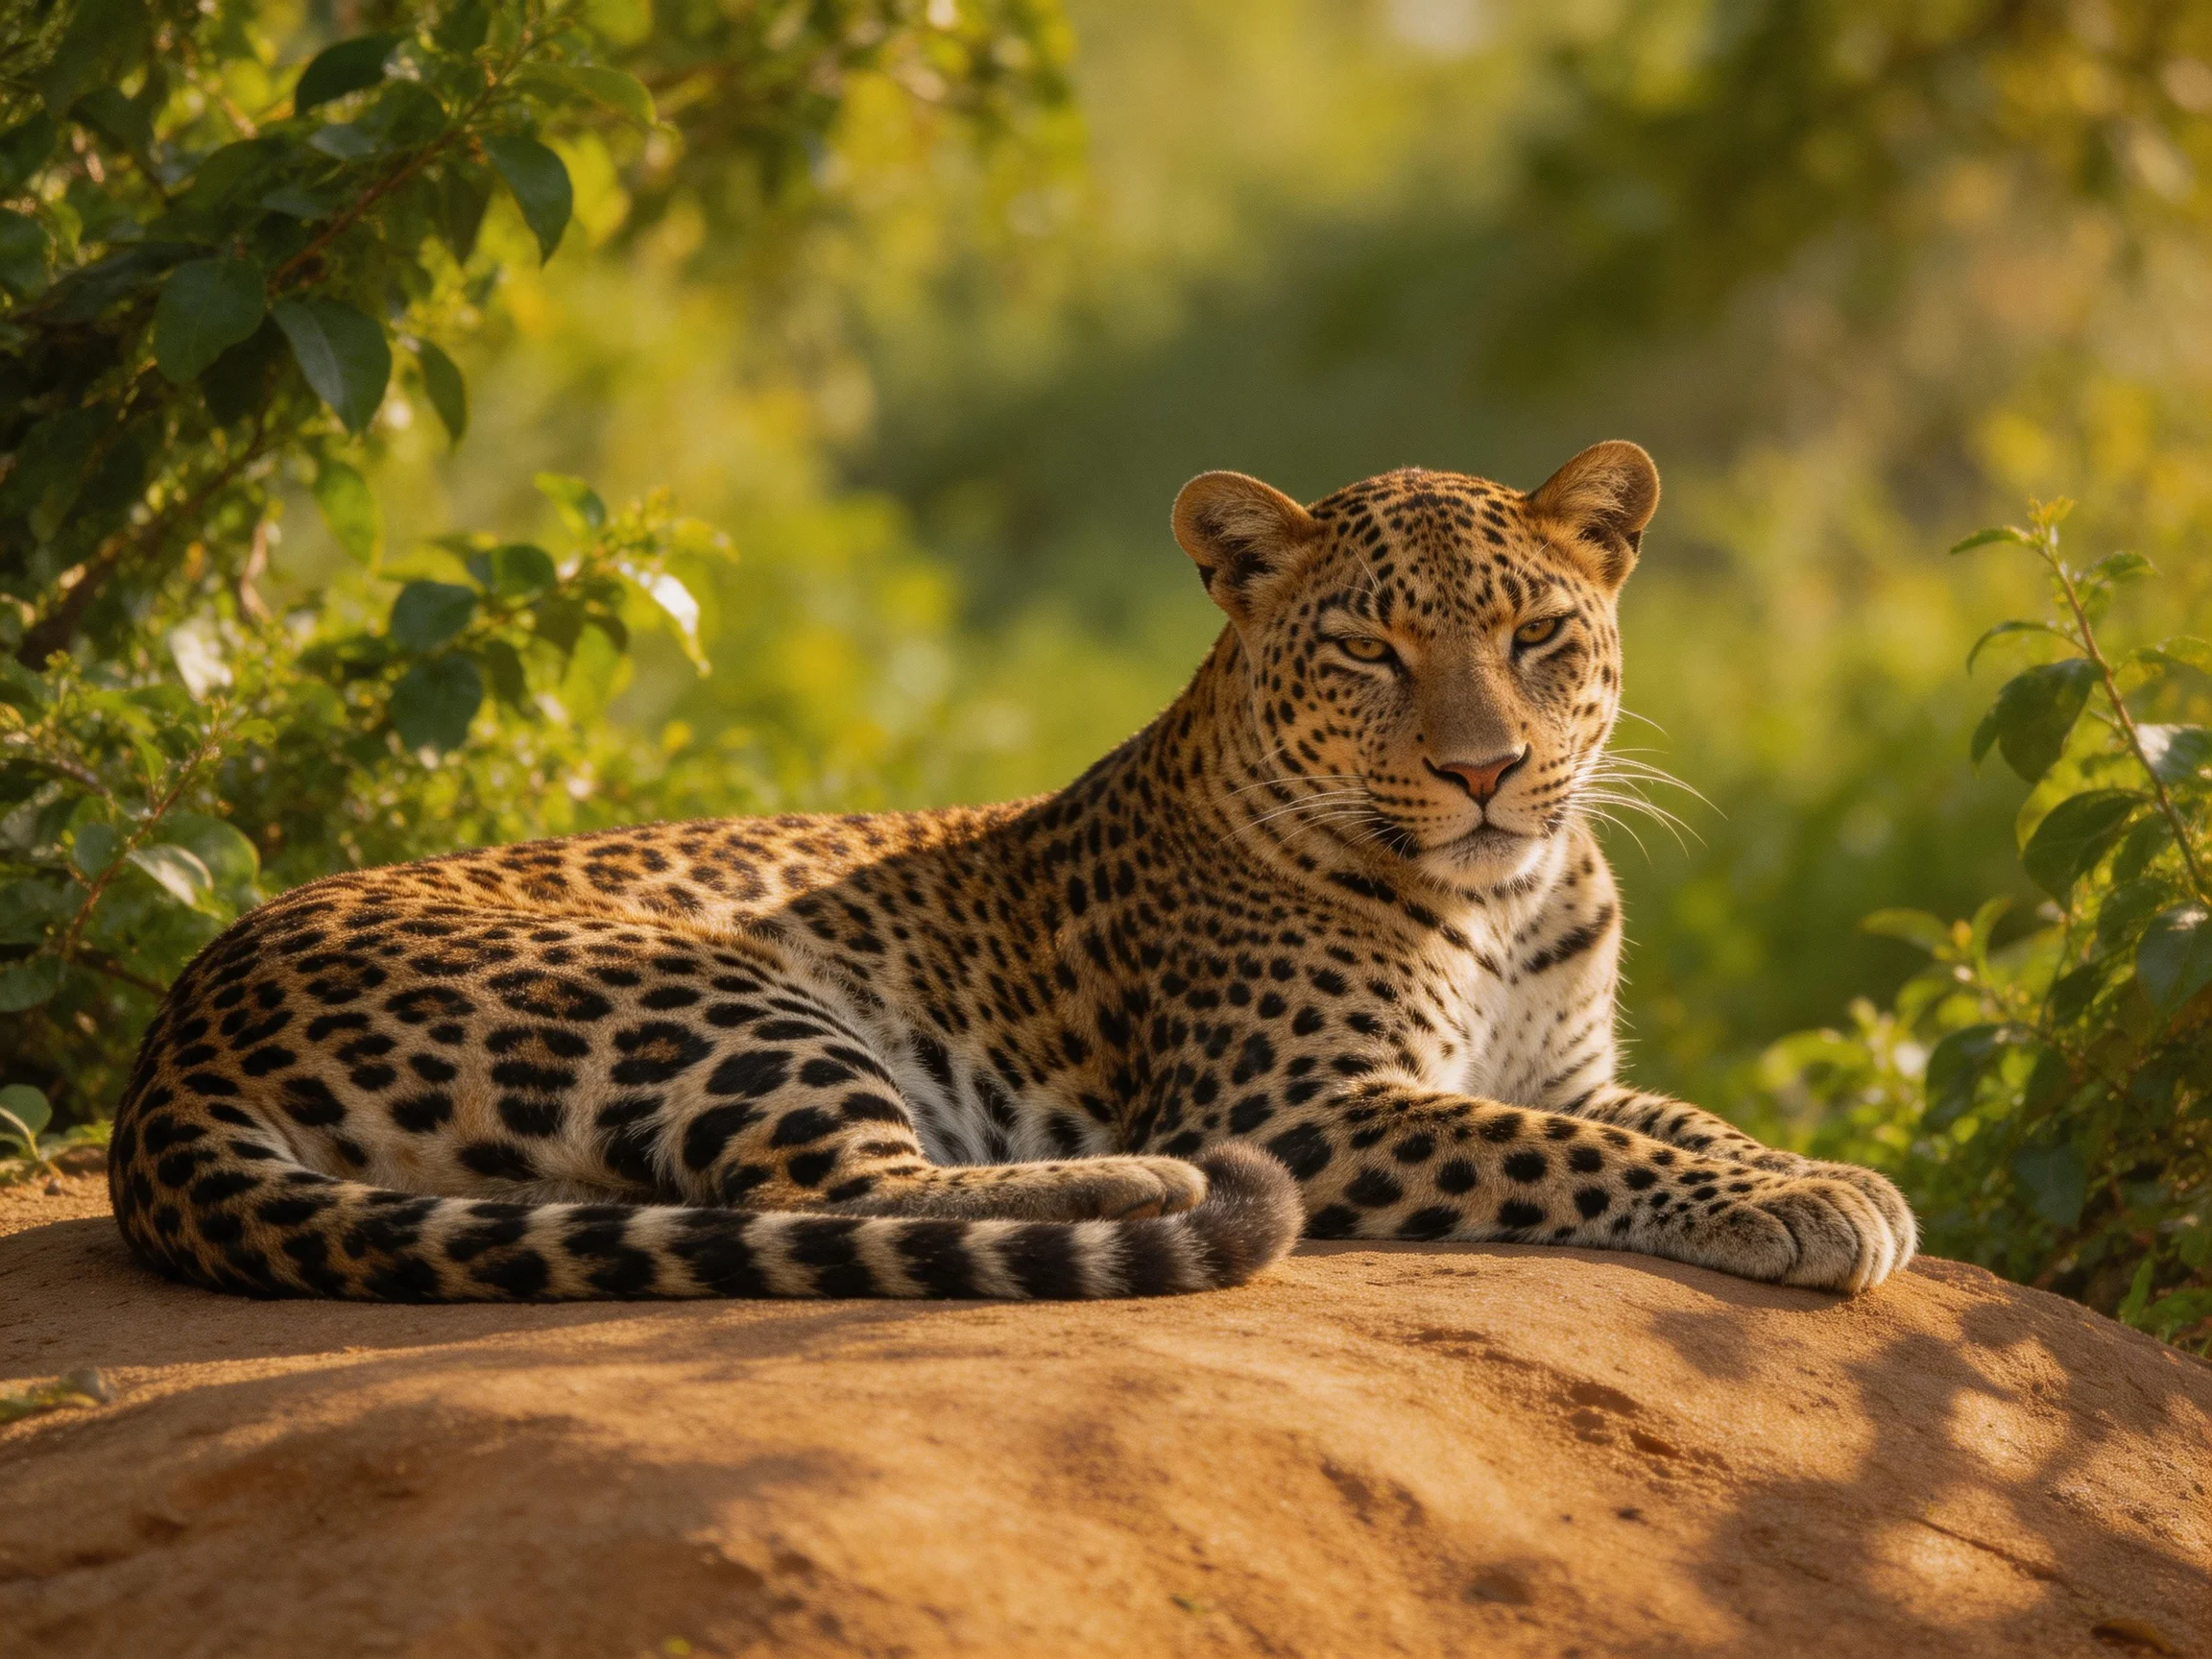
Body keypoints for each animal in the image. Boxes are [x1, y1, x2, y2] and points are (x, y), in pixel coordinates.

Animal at [108, 440, 1917, 1303]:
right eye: (1367, 652)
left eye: (1537, 636)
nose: (1485, 770)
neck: (1506, 899)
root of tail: (167, 1043)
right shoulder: (1302, 1100)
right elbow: (1554, 1151)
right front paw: (1800, 1202)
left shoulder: (1573, 1064)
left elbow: (1668, 1118)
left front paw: (1826, 1179)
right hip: (704, 993)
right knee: (828, 1195)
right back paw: (1146, 1187)